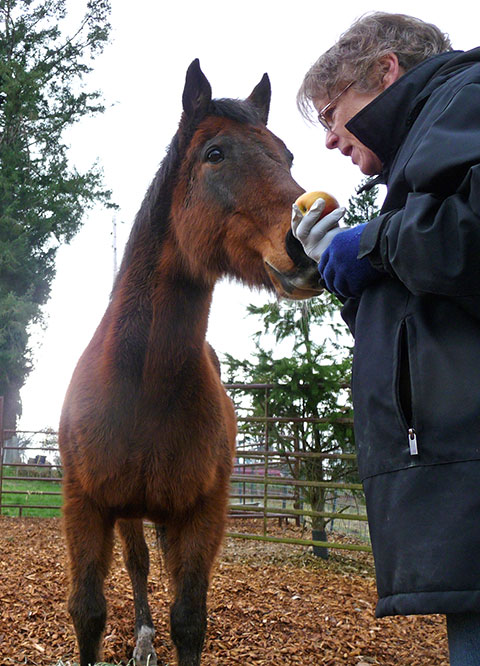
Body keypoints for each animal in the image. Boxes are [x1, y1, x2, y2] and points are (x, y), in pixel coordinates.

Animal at [60, 59, 322, 660]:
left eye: (287, 156)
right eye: (215, 154)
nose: (305, 245)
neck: (141, 385)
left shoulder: (201, 516)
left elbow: (189, 621)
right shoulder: (86, 509)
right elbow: (89, 614)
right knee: (137, 566)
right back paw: (141, 640)